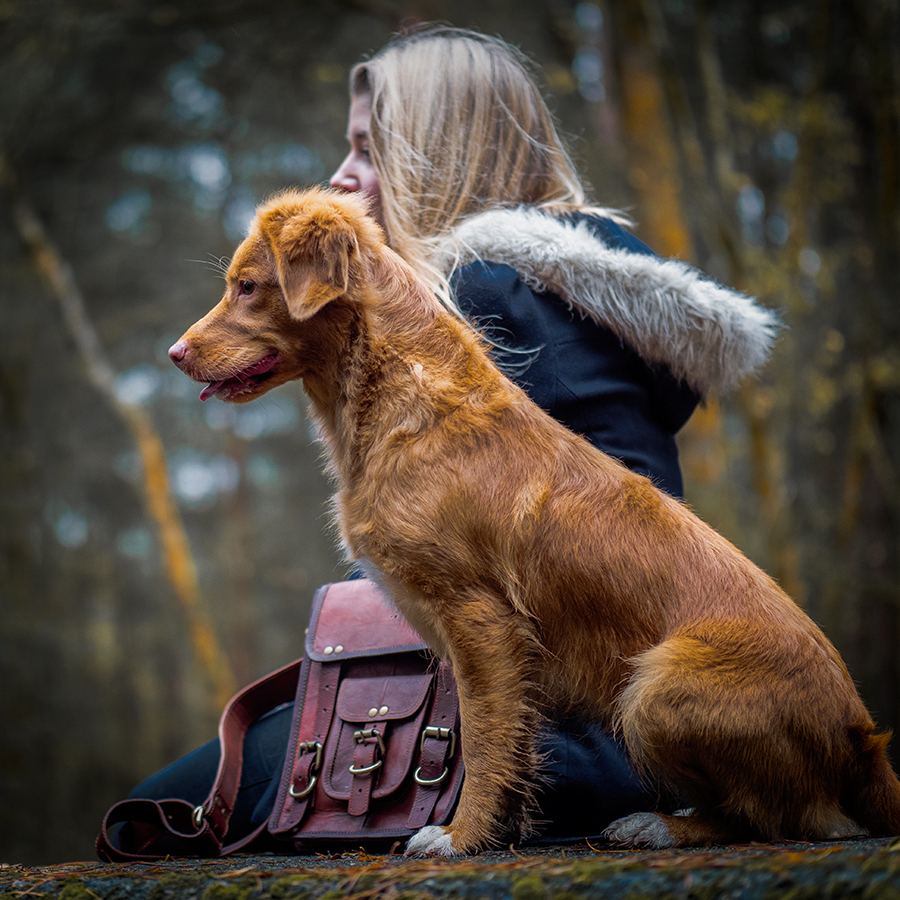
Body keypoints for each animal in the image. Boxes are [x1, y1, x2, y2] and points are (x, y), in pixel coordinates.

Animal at [171, 186, 900, 856]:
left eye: (247, 286)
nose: (175, 353)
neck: (398, 398)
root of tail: (862, 737)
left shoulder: (480, 619)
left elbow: (483, 742)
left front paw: (458, 838)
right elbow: (513, 748)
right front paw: (499, 833)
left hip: (654, 689)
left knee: (775, 817)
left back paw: (659, 825)